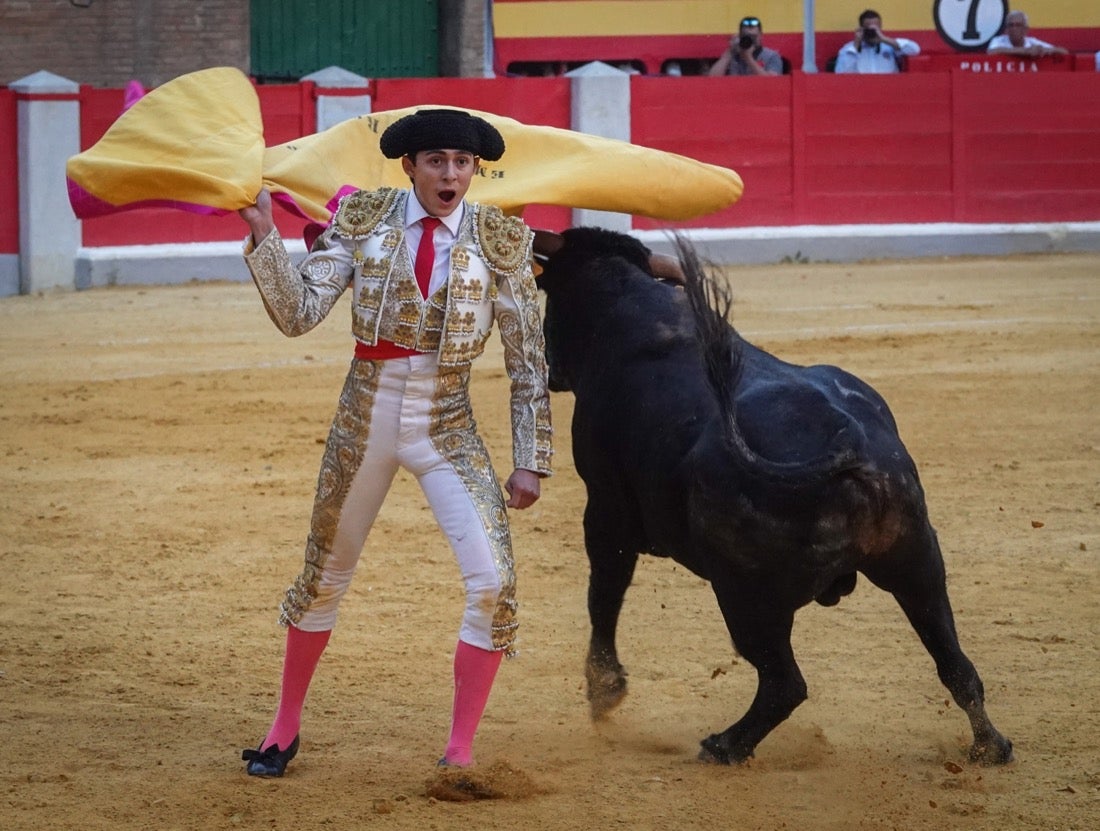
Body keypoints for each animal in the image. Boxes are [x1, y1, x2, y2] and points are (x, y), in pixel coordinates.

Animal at [532, 227, 1012, 766]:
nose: (550, 369)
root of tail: (853, 447)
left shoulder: (605, 508)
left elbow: (604, 593)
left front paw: (604, 691)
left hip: (746, 596)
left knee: (784, 683)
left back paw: (722, 746)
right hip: (918, 563)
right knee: (956, 665)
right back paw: (991, 747)